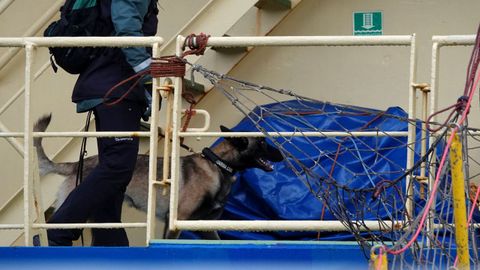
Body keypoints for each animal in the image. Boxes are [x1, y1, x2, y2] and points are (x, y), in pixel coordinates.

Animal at [34, 114, 284, 238]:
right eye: (262, 143)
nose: (281, 153)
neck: (218, 165)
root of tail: (76, 164)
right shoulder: (175, 222)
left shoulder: (204, 228)